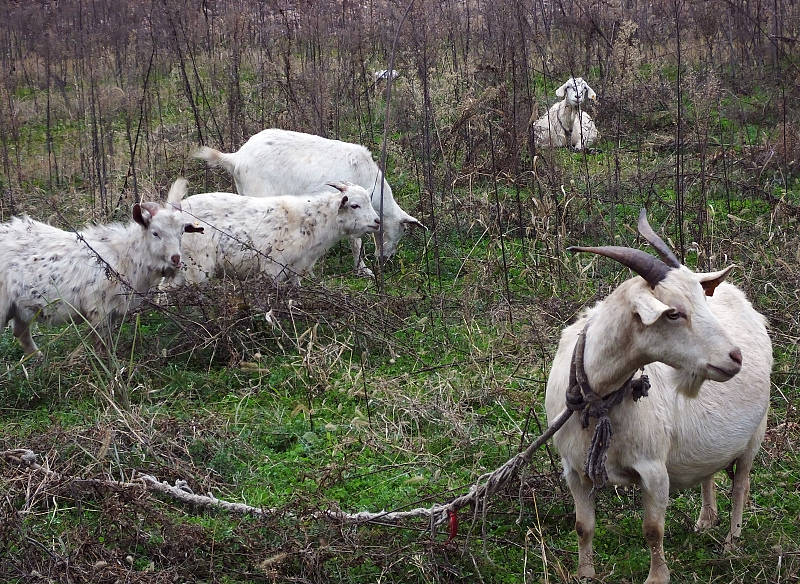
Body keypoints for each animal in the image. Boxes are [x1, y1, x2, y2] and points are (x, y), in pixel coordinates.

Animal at [0, 179, 203, 356]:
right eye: (155, 233)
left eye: (182, 232)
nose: (176, 259)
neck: (123, 255)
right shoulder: (99, 310)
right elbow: (102, 344)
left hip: (19, 307)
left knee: (21, 333)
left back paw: (39, 359)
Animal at [544, 209, 768, 584]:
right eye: (673, 312)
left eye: (700, 300)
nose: (735, 357)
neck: (600, 400)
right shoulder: (573, 469)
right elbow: (582, 526)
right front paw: (585, 573)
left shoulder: (653, 469)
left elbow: (652, 529)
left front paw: (657, 577)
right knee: (708, 470)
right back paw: (706, 520)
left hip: (756, 432)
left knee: (742, 484)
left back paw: (731, 542)